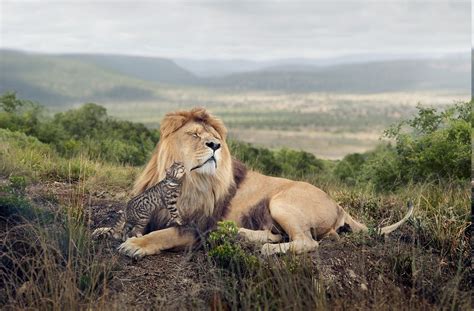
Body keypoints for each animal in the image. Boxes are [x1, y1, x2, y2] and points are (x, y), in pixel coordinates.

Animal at [117, 108, 412, 260]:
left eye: (214, 137)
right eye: (194, 135)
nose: (215, 145)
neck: (188, 181)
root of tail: (338, 205)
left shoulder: (197, 227)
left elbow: (164, 234)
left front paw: (135, 245)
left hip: (280, 201)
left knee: (306, 242)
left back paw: (268, 248)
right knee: (283, 234)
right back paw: (241, 235)